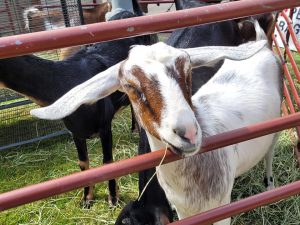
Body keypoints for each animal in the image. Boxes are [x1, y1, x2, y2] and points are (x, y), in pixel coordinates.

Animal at [0, 0, 158, 208]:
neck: (64, 81)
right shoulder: (75, 132)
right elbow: (83, 164)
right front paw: (86, 199)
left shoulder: (104, 127)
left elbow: (108, 162)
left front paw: (113, 199)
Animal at [30, 33, 282, 223]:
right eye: (131, 86)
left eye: (188, 73)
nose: (188, 132)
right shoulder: (183, 209)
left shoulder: (221, 209)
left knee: (270, 154)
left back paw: (270, 185)